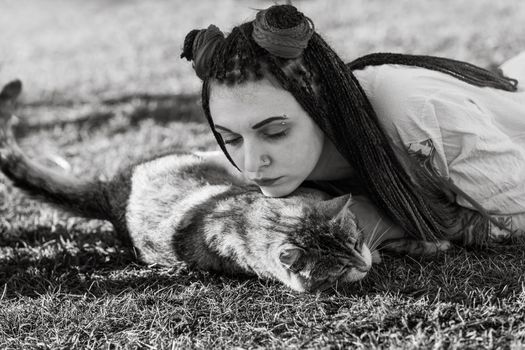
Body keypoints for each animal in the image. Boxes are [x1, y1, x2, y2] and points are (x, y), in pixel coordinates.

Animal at [0, 80, 450, 292]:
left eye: (354, 243)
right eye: (339, 268)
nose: (363, 264)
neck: (256, 215)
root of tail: (111, 191)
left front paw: (420, 243)